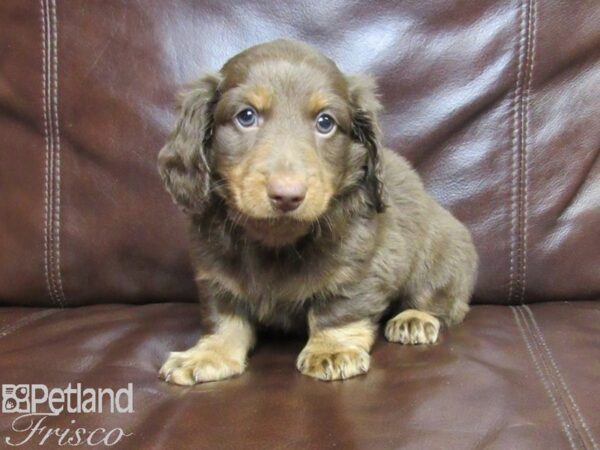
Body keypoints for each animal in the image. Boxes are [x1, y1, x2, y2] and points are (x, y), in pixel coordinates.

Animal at [158, 39, 478, 384]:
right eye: (246, 116)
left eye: (325, 122)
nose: (287, 196)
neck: (276, 241)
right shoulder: (216, 270)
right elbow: (224, 315)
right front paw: (209, 353)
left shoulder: (359, 266)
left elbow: (338, 308)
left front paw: (332, 349)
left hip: (439, 256)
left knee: (442, 302)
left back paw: (414, 318)